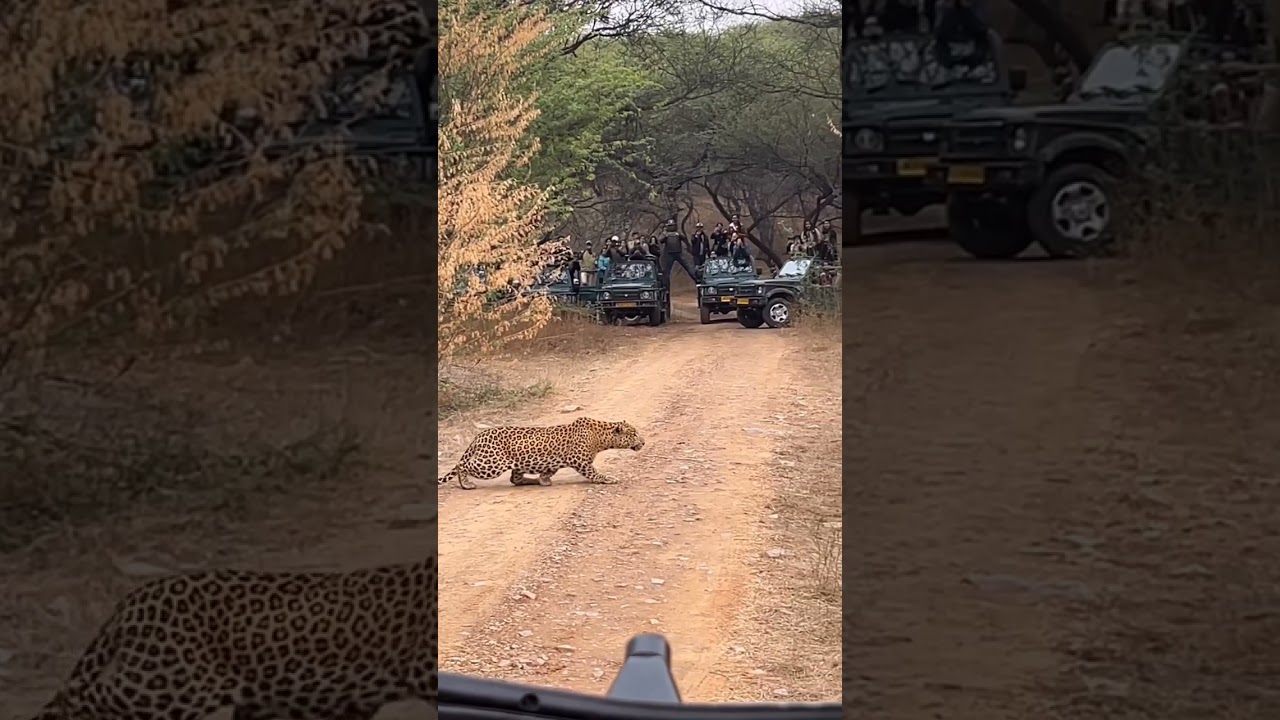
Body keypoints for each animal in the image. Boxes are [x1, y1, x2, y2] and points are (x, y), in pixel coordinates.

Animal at [438, 417, 645, 490]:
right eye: (634, 434)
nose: (643, 442)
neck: (601, 436)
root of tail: (479, 435)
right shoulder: (581, 462)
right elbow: (595, 473)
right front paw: (609, 478)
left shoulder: (554, 461)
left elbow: (548, 471)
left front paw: (544, 480)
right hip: (491, 464)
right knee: (462, 465)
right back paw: (466, 484)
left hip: (515, 463)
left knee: (515, 478)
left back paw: (532, 480)